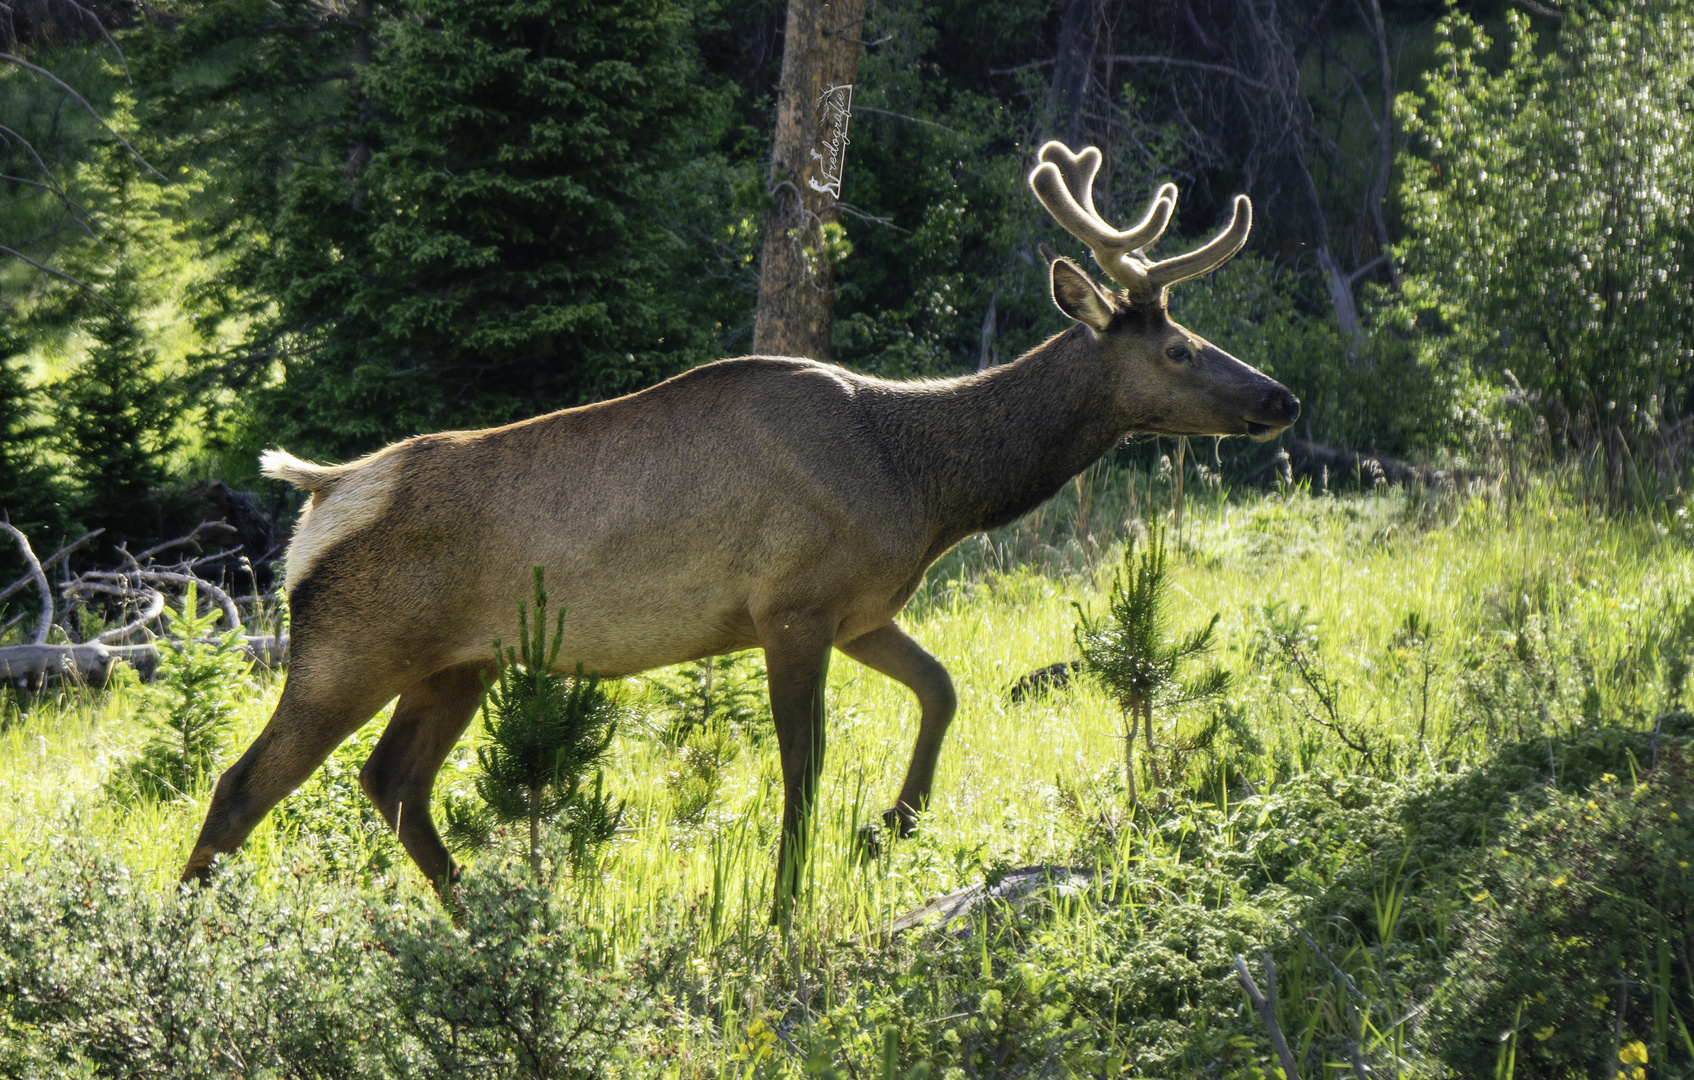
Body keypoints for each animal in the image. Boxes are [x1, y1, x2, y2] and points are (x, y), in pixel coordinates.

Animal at [182, 143, 1294, 920]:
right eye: (1181, 350)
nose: (1279, 397)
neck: (925, 482)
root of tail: (323, 495)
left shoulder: (860, 609)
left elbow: (941, 688)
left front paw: (893, 824)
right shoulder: (788, 605)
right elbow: (802, 772)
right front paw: (786, 899)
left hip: (460, 663)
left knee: (393, 783)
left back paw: (482, 918)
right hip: (349, 648)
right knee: (243, 787)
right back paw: (187, 945)